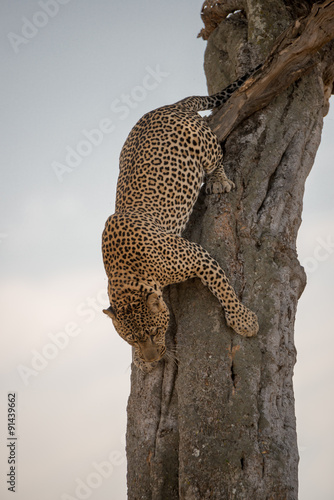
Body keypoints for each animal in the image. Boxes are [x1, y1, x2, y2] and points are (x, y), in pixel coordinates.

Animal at [103, 67, 260, 372]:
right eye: (132, 340)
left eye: (154, 332)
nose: (153, 358)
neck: (128, 270)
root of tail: (169, 106)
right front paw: (139, 361)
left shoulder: (198, 255)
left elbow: (222, 286)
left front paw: (242, 319)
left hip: (203, 142)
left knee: (216, 160)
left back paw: (219, 182)